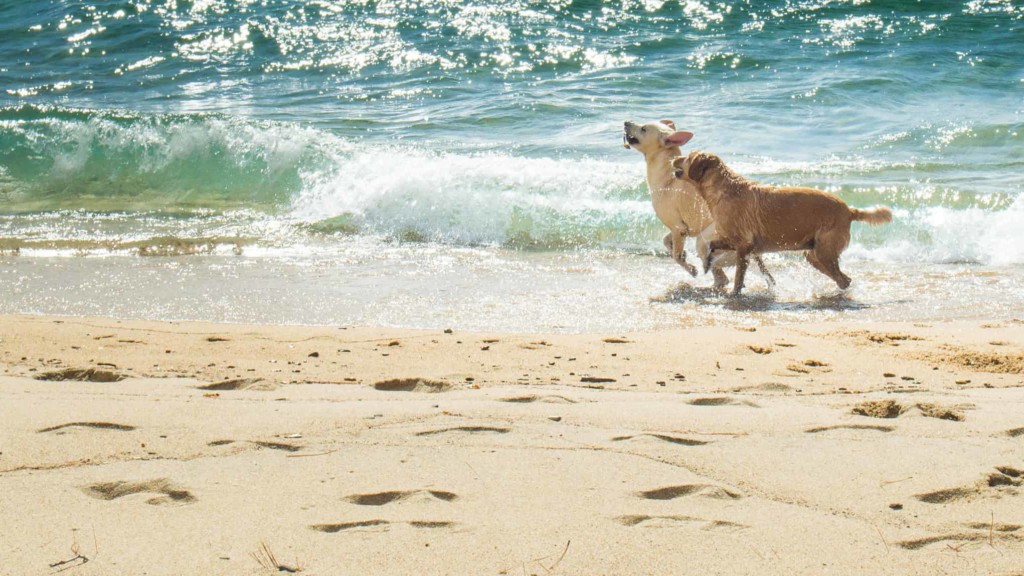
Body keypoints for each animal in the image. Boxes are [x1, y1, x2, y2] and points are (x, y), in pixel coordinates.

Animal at [618, 118, 770, 286]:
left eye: (643, 129)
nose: (626, 122)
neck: (668, 178)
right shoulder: (681, 229)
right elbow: (666, 242)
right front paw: (684, 257)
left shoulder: (678, 229)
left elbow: (676, 256)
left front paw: (691, 269)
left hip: (704, 240)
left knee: (720, 270)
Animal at [671, 150, 888, 293]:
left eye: (687, 157)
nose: (673, 158)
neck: (723, 188)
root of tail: (849, 210)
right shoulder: (741, 243)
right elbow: (712, 244)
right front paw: (707, 261)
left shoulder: (743, 244)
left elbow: (738, 276)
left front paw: (734, 293)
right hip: (814, 255)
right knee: (844, 278)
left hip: (824, 251)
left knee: (843, 280)